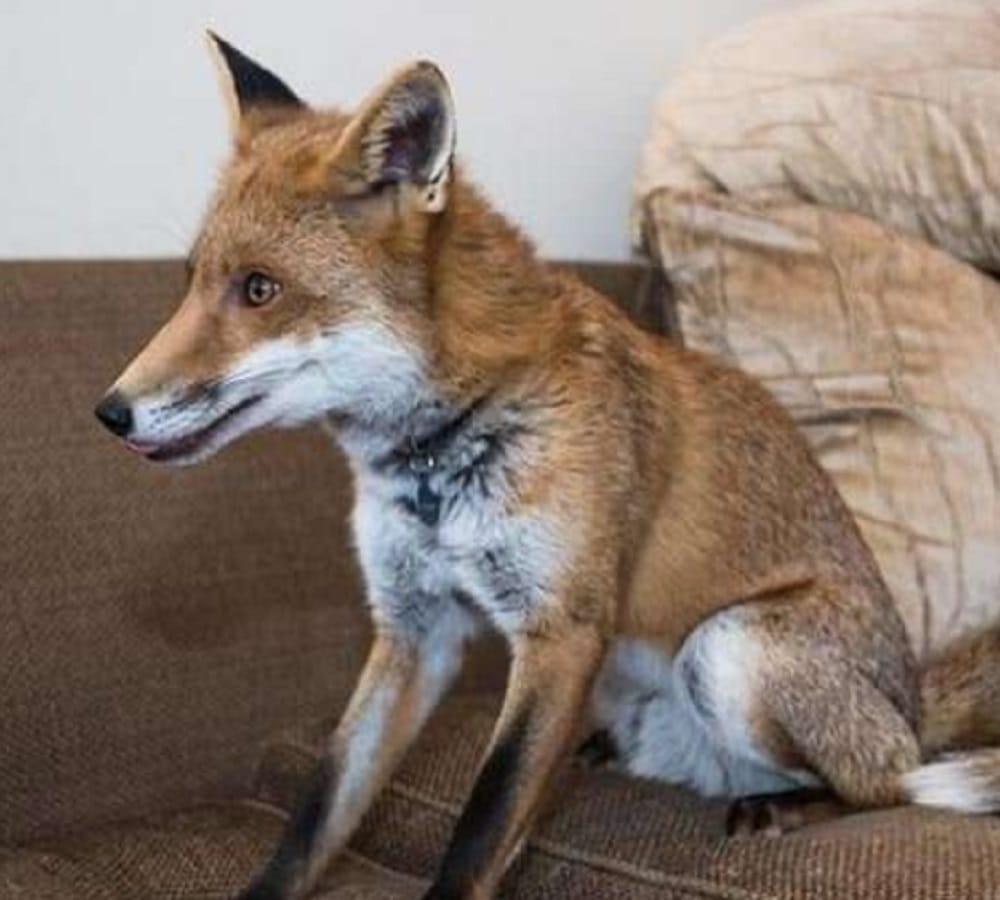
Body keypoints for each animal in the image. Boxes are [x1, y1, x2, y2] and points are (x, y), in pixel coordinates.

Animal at [94, 33, 1000, 900]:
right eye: (190, 283)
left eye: (258, 289)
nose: (110, 411)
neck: (439, 461)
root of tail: (910, 696)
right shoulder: (414, 629)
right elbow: (319, 810)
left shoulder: (562, 629)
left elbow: (483, 823)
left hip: (728, 649)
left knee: (890, 781)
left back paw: (789, 803)